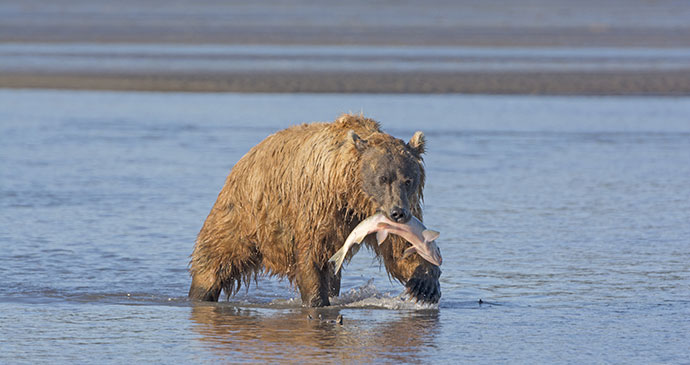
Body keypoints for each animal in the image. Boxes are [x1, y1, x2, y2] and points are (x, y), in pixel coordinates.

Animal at [187, 113, 440, 304]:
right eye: (383, 178)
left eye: (408, 180)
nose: (398, 212)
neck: (351, 194)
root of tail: (245, 158)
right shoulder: (318, 204)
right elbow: (312, 254)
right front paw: (317, 301)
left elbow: (400, 249)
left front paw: (424, 285)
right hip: (244, 213)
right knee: (217, 255)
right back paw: (200, 292)